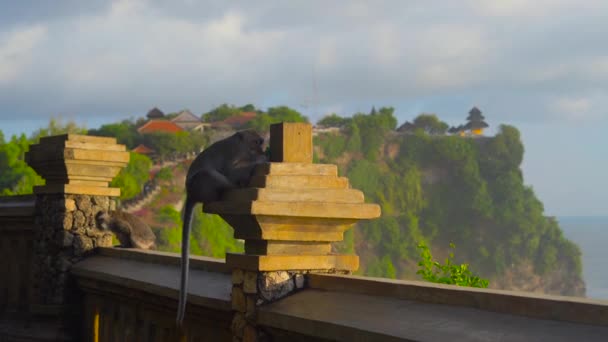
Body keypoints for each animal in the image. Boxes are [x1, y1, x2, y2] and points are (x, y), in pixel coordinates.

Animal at [176, 129, 266, 326]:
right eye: (256, 140)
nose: (263, 145)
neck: (242, 147)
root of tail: (191, 193)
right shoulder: (235, 154)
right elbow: (231, 171)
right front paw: (261, 160)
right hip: (202, 184)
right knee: (212, 175)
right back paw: (233, 187)